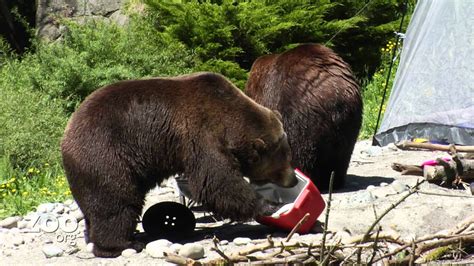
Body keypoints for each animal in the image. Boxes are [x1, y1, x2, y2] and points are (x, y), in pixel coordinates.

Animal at [60, 71, 296, 256]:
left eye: (288, 154)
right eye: (284, 160)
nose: (293, 180)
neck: (229, 120)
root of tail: (66, 136)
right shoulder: (200, 133)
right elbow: (217, 181)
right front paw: (270, 205)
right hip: (106, 155)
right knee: (117, 200)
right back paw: (122, 244)